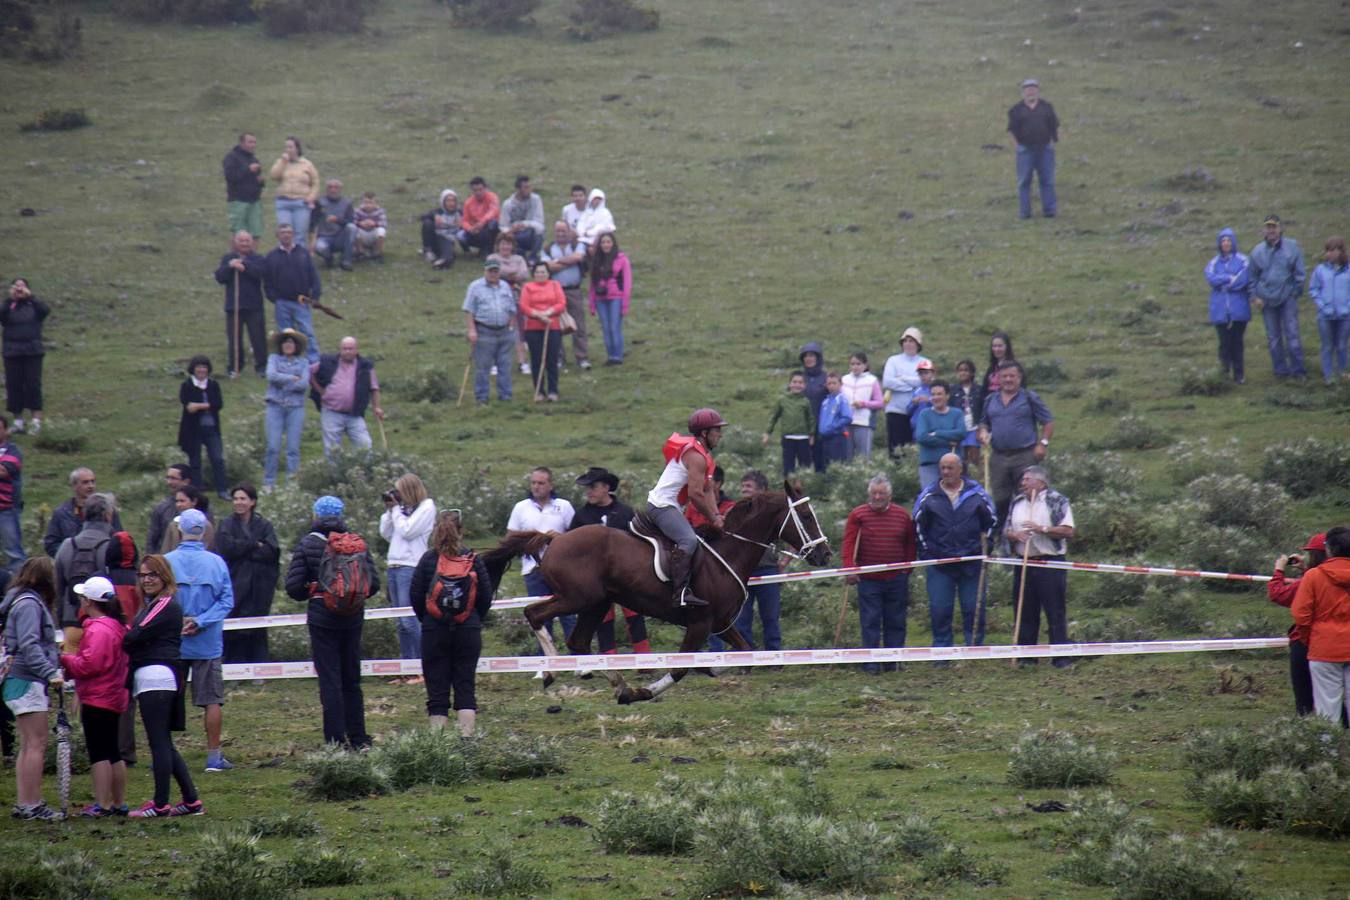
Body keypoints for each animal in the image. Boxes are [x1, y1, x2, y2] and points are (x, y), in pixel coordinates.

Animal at [480, 483, 826, 707]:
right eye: (807, 516)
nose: (823, 553)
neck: (727, 554)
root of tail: (554, 538)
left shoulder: (721, 625)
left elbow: (741, 655)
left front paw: (707, 668)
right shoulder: (700, 624)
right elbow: (681, 668)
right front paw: (646, 691)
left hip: (597, 603)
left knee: (578, 640)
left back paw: (619, 687)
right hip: (577, 598)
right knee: (534, 614)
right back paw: (553, 671)